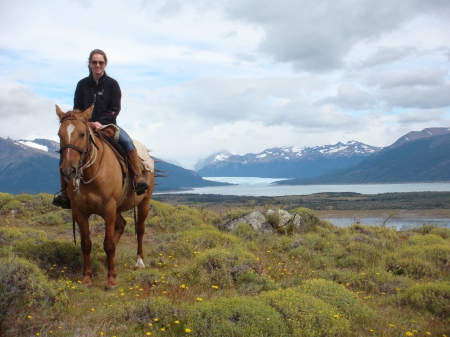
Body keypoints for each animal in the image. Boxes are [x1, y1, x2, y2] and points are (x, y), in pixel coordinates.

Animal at [55, 103, 154, 288]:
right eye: (59, 134)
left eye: (82, 133)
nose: (68, 171)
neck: (90, 175)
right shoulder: (79, 211)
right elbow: (86, 244)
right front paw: (87, 277)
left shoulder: (108, 208)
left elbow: (108, 244)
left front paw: (111, 279)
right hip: (119, 207)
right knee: (121, 225)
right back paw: (109, 262)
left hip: (144, 201)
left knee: (140, 229)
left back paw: (139, 262)